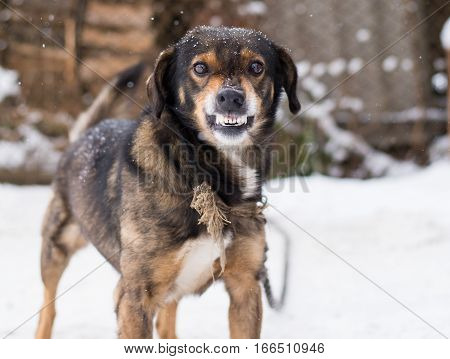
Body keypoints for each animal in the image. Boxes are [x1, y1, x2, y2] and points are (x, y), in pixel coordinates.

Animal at [35, 26, 298, 340]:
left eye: (256, 67)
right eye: (200, 67)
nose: (231, 97)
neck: (203, 180)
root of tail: (86, 135)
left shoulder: (245, 285)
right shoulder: (135, 295)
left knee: (166, 321)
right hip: (56, 247)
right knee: (48, 307)